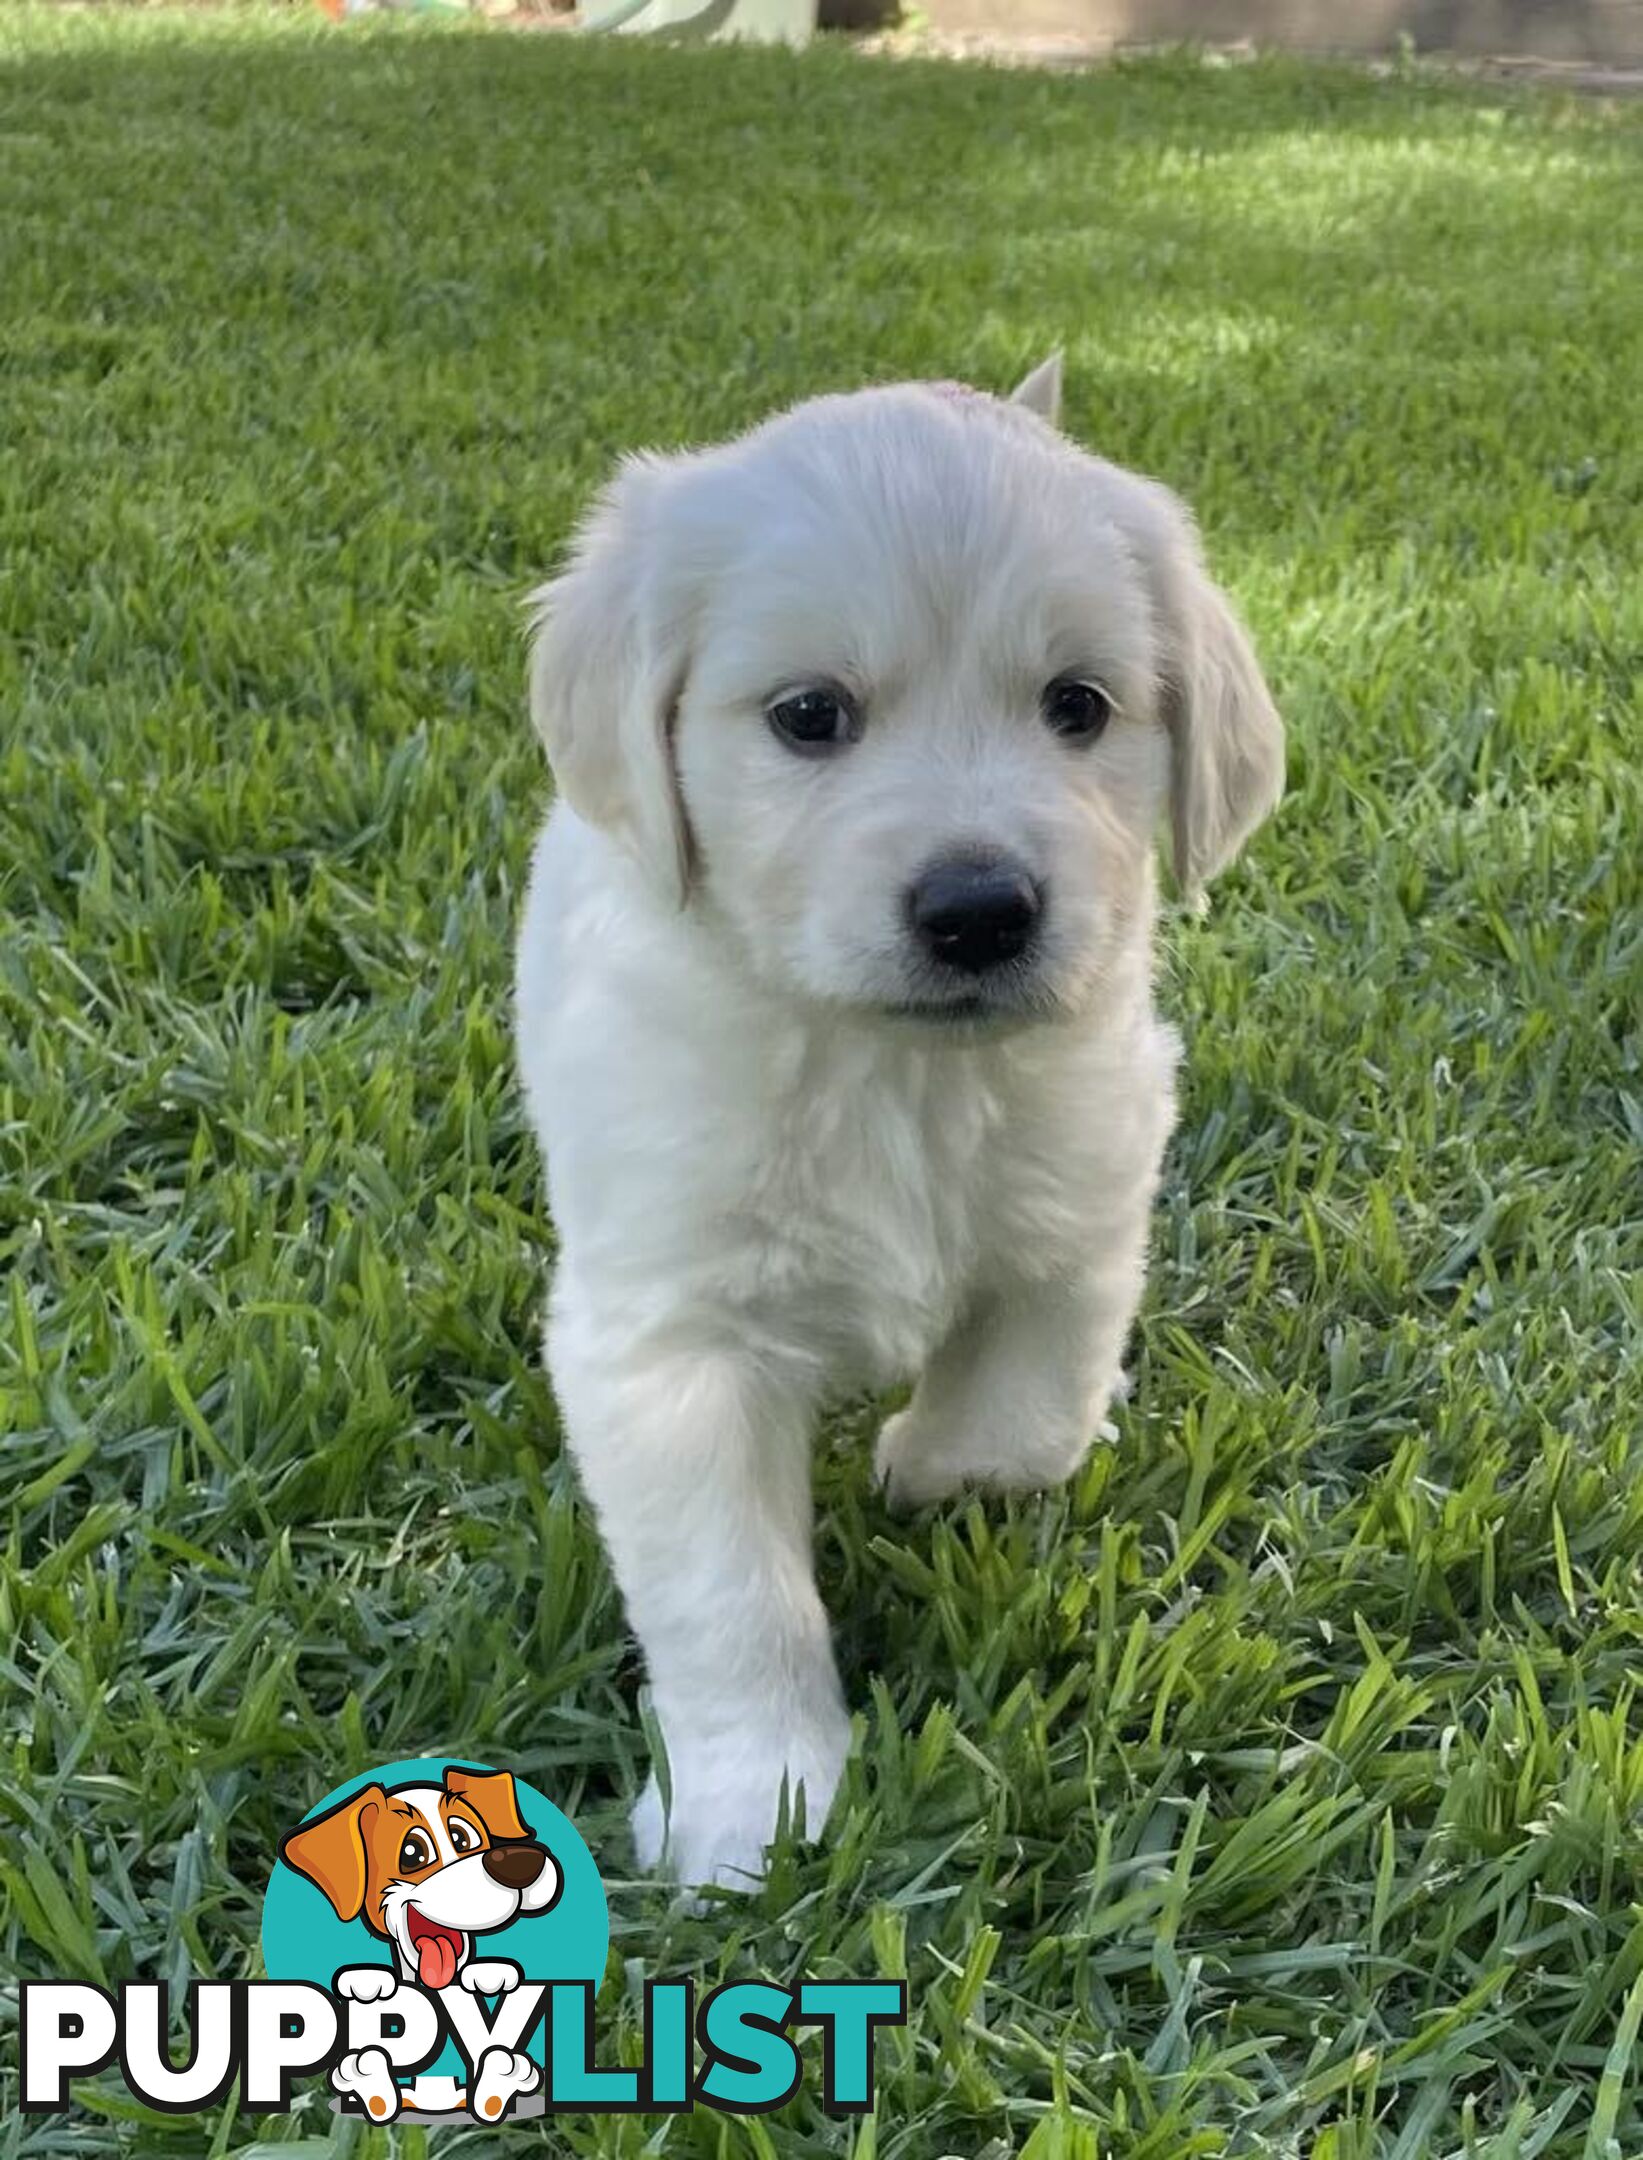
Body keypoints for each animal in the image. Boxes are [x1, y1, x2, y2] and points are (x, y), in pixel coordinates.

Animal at [513, 358, 1278, 1892]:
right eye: (809, 715)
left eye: (1077, 706)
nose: (979, 910)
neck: (891, 1072)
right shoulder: (669, 1344)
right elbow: (730, 1597)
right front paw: (752, 1802)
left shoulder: (1082, 1211)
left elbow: (1018, 1421)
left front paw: (927, 1469)